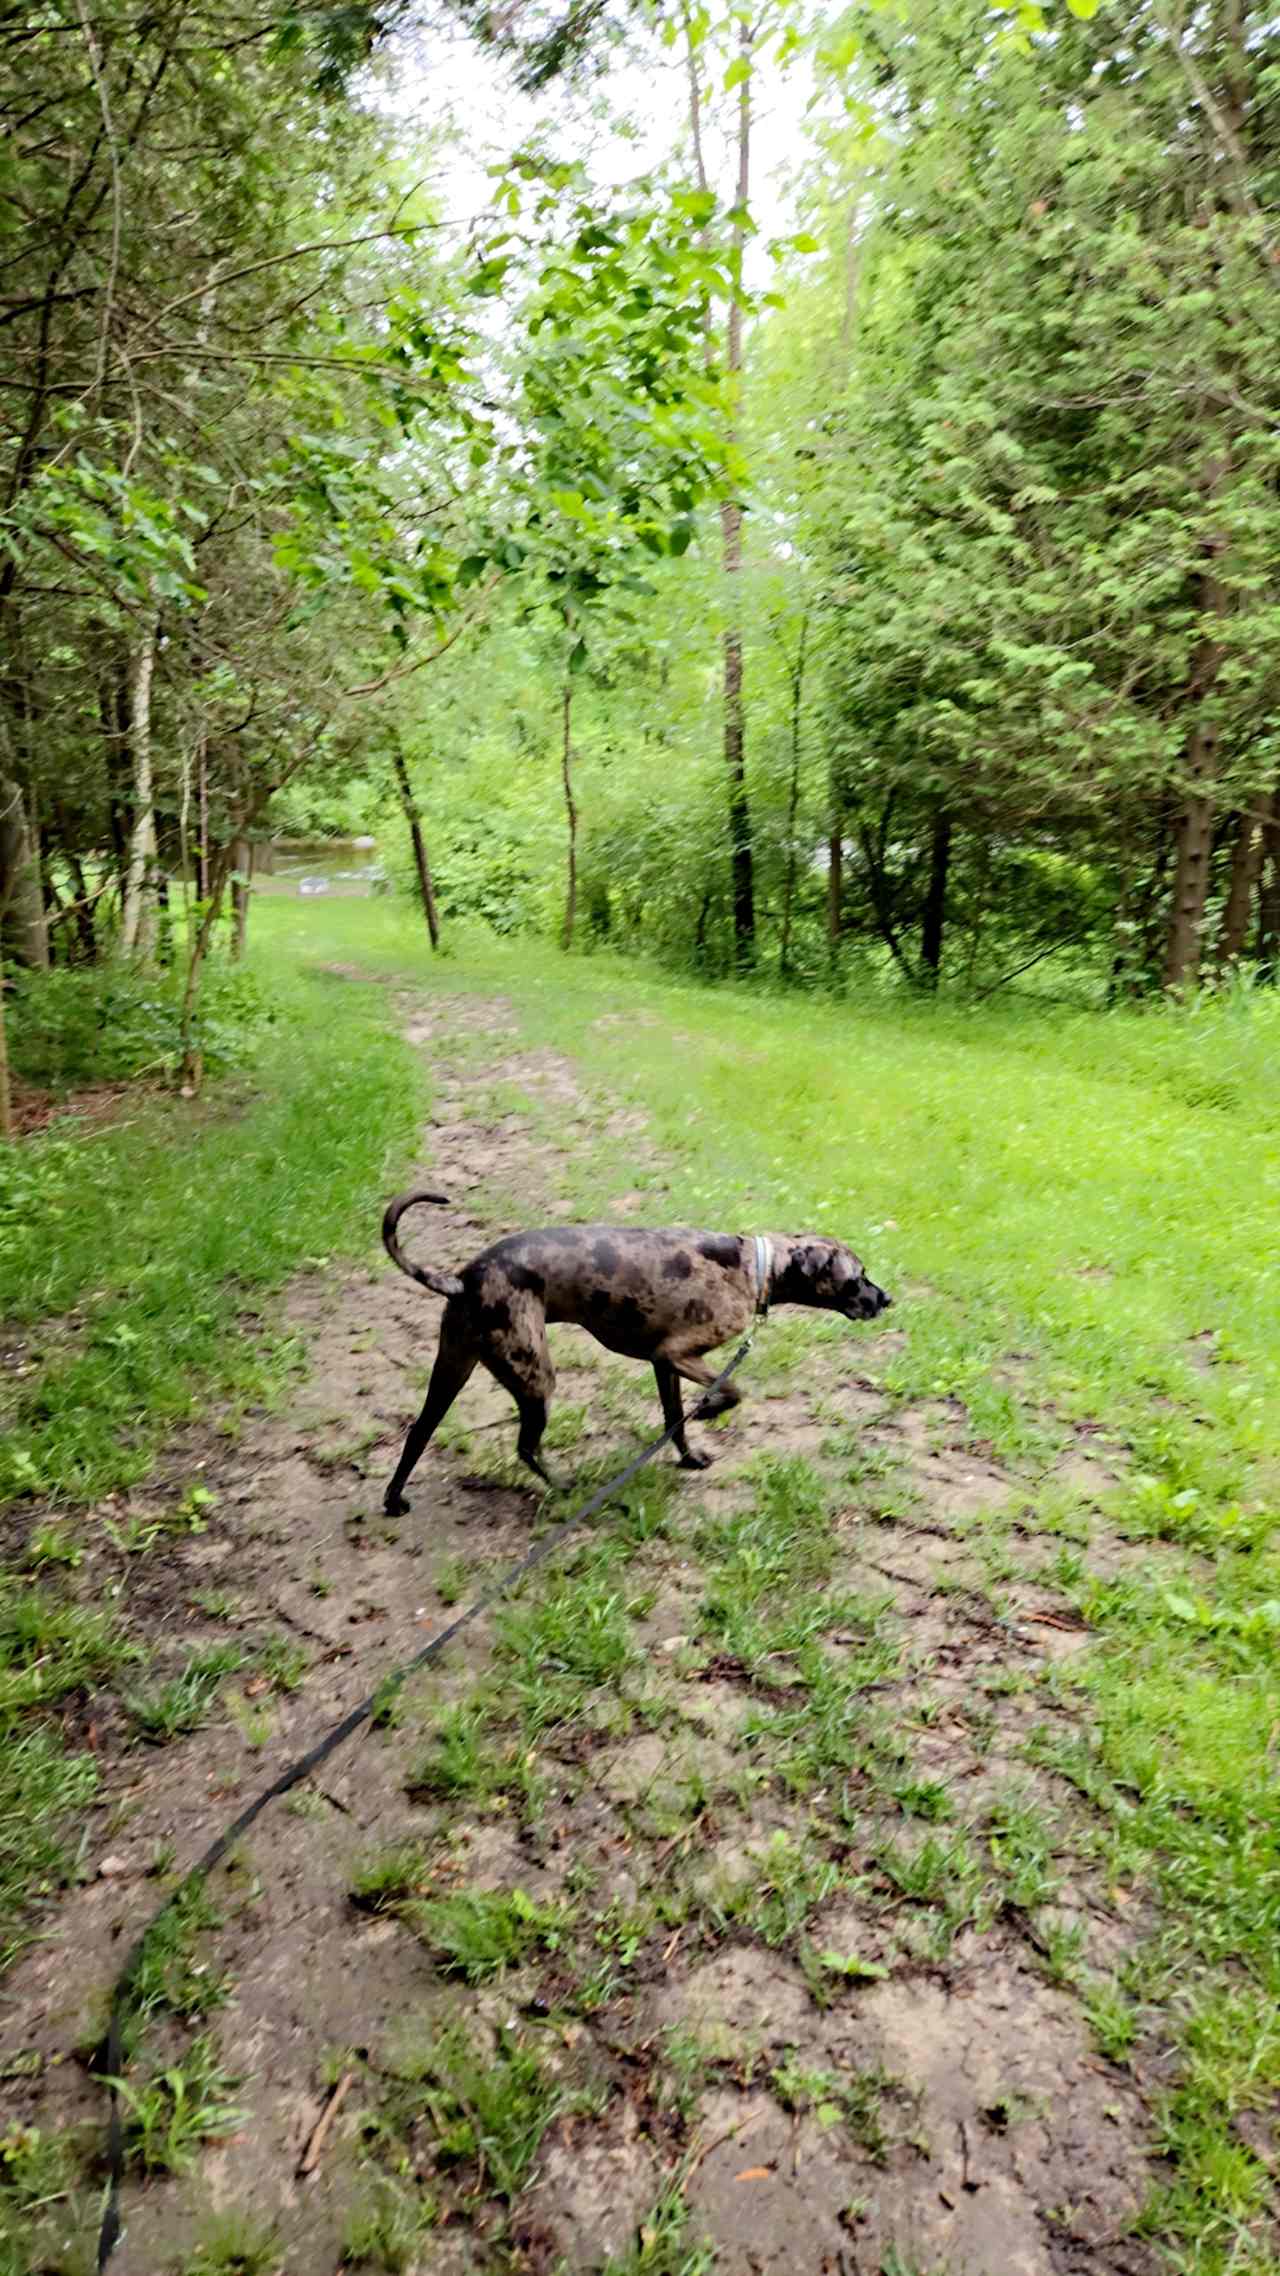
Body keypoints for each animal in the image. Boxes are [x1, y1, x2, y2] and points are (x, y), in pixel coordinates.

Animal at [378, 1192, 888, 1511]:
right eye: (857, 1277)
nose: (887, 1298)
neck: (755, 1267)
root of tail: (464, 1279)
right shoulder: (677, 1355)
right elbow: (733, 1391)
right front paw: (709, 1410)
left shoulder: (665, 1367)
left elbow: (674, 1421)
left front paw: (688, 1456)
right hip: (535, 1377)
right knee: (525, 1447)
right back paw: (564, 1486)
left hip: (452, 1369)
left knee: (418, 1434)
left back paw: (394, 1499)